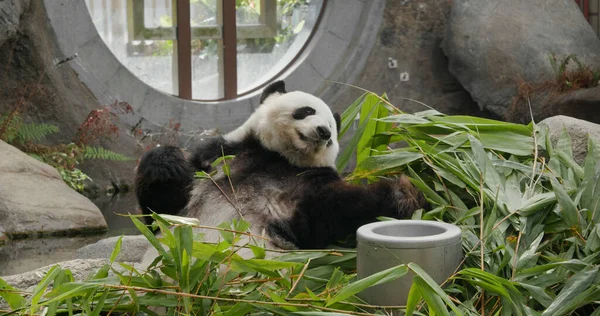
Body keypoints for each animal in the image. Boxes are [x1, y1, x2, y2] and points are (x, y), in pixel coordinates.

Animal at [135, 80, 426, 253]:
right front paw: (167, 163)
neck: (277, 157)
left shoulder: (307, 184)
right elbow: (163, 211)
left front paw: (404, 192)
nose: (323, 132)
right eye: (307, 111)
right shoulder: (219, 160)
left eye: (332, 130)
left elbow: (333, 212)